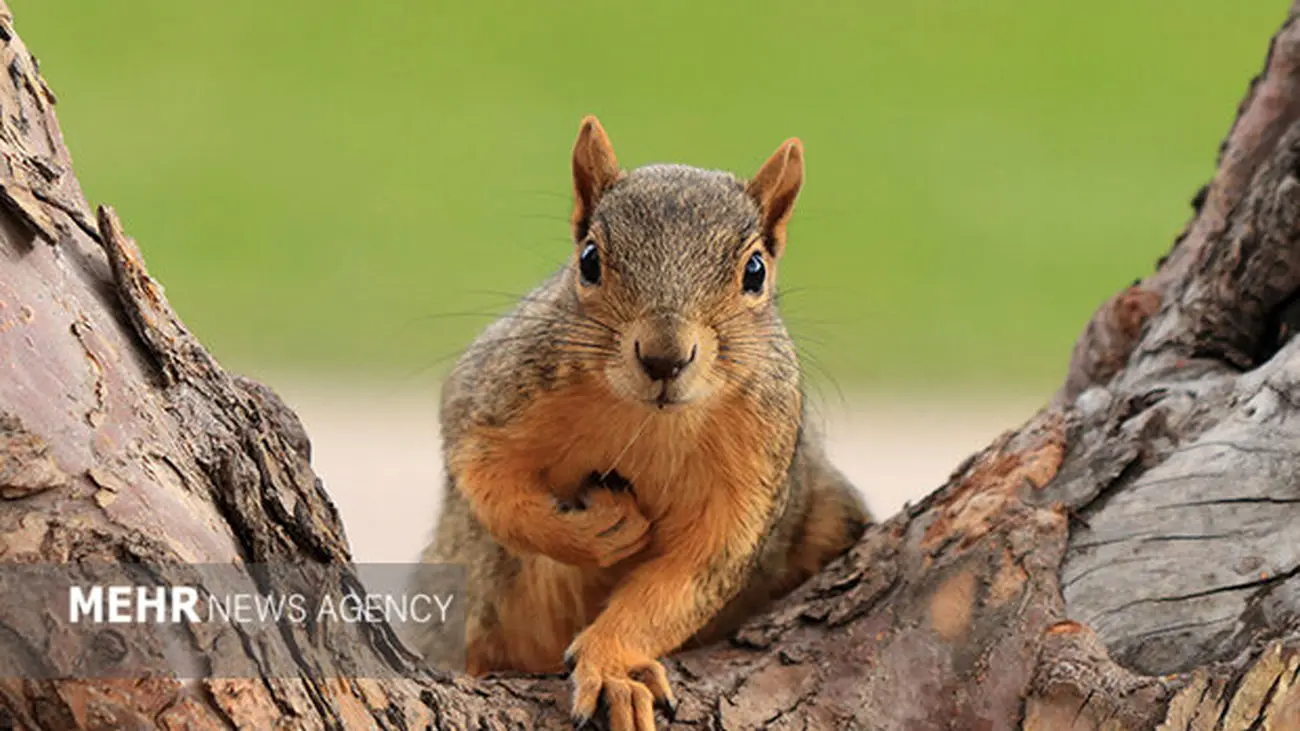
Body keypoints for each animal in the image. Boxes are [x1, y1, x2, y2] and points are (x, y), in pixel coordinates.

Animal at [410, 116, 868, 723]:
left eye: (755, 271)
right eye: (588, 260)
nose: (663, 358)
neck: (648, 422)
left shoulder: (756, 472)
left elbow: (686, 579)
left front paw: (612, 668)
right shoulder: (494, 392)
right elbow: (487, 482)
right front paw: (593, 531)